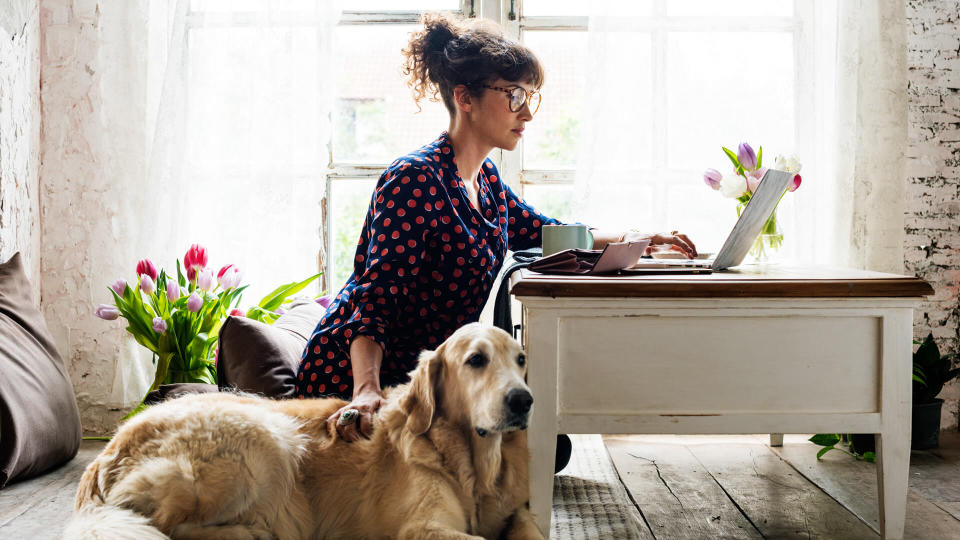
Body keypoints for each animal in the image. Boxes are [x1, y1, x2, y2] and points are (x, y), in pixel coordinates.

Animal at [67, 322, 544, 540]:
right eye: (476, 360)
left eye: (521, 359)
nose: (524, 401)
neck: (474, 465)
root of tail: (106, 452)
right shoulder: (421, 528)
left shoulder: (517, 512)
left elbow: (531, 530)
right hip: (266, 437)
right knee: (165, 527)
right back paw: (248, 533)